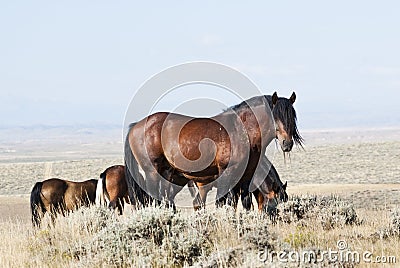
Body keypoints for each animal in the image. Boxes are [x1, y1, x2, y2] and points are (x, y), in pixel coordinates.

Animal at [124, 92, 300, 209]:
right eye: (275, 116)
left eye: (292, 116)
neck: (241, 130)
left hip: (168, 174)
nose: (287, 143)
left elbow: (245, 203)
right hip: (152, 172)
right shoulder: (227, 173)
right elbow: (224, 203)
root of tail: (136, 126)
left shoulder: (246, 177)